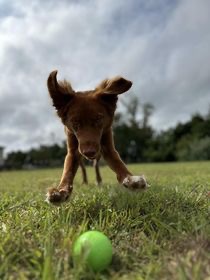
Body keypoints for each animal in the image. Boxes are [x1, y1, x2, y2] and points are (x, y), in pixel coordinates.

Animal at [46, 71, 148, 205]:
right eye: (75, 122)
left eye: (99, 119)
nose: (89, 152)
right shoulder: (73, 149)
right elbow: (68, 171)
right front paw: (61, 191)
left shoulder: (107, 144)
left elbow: (117, 162)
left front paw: (131, 179)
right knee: (83, 167)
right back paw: (85, 181)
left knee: (95, 166)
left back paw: (99, 181)